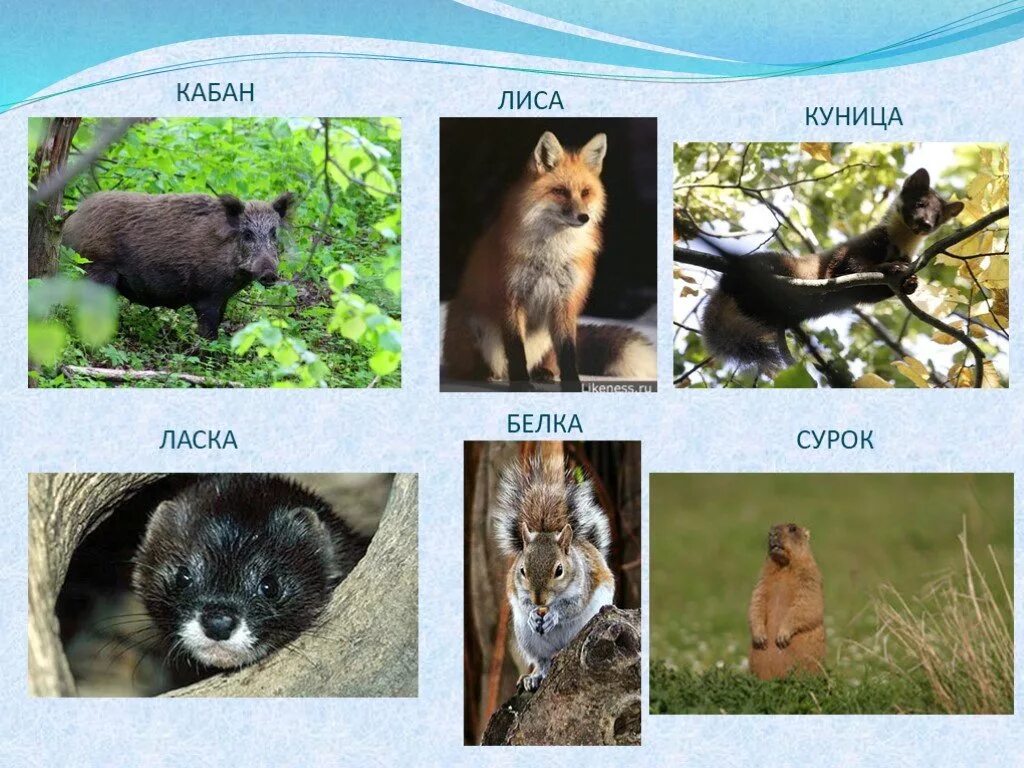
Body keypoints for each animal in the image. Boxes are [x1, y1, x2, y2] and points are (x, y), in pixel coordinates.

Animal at [443, 131, 656, 392]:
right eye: (560, 191)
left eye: (585, 192)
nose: (584, 217)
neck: (551, 255)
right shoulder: (511, 298)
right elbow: (516, 350)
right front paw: (521, 385)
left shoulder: (565, 302)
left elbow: (568, 353)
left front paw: (572, 386)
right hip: (471, 323)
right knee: (469, 367)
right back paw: (483, 374)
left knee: (548, 362)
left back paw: (542, 373)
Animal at [700, 167, 964, 374]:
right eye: (920, 203)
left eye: (937, 217)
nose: (925, 223)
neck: (895, 245)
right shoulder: (853, 248)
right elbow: (846, 268)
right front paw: (891, 267)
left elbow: (872, 293)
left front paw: (910, 282)